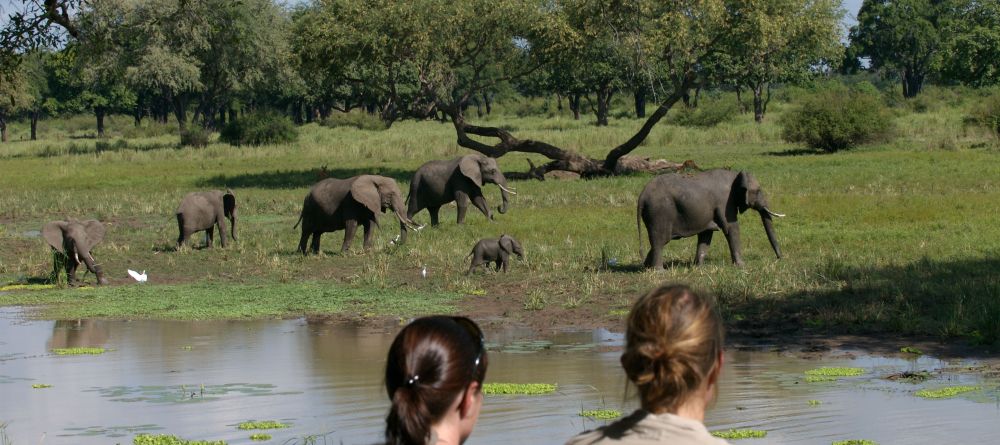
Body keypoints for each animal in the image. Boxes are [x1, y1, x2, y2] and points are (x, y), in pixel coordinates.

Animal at [636, 169, 784, 268]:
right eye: (758, 191)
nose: (779, 259)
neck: (735, 174)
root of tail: (642, 196)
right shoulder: (725, 202)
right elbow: (731, 228)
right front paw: (742, 266)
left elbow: (706, 235)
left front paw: (698, 267)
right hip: (659, 212)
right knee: (660, 240)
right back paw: (658, 271)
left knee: (658, 242)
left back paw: (647, 267)